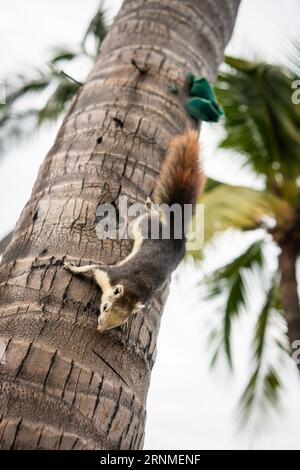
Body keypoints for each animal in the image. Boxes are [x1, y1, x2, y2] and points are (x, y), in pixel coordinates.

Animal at [63, 130, 204, 332]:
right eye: (105, 307)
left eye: (122, 319)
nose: (100, 328)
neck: (132, 290)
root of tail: (174, 229)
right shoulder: (109, 274)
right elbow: (90, 268)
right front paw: (73, 267)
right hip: (145, 225)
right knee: (152, 215)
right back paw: (150, 205)